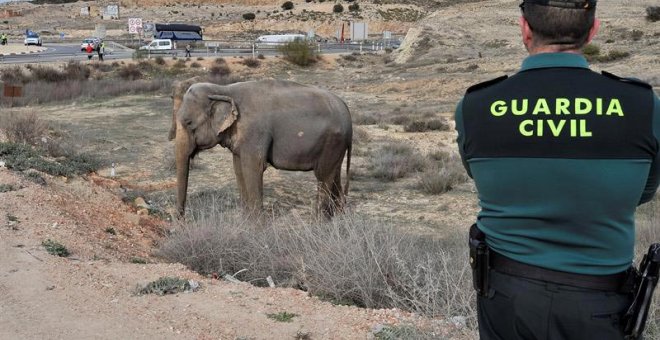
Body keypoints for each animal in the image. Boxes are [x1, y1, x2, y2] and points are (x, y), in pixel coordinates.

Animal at [174, 79, 350, 218]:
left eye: (188, 123)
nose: (182, 221)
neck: (223, 89)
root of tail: (345, 109)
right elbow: (239, 168)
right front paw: (246, 220)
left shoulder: (255, 132)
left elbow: (254, 168)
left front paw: (257, 226)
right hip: (337, 146)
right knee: (334, 174)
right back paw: (337, 217)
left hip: (332, 141)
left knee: (323, 176)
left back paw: (319, 222)